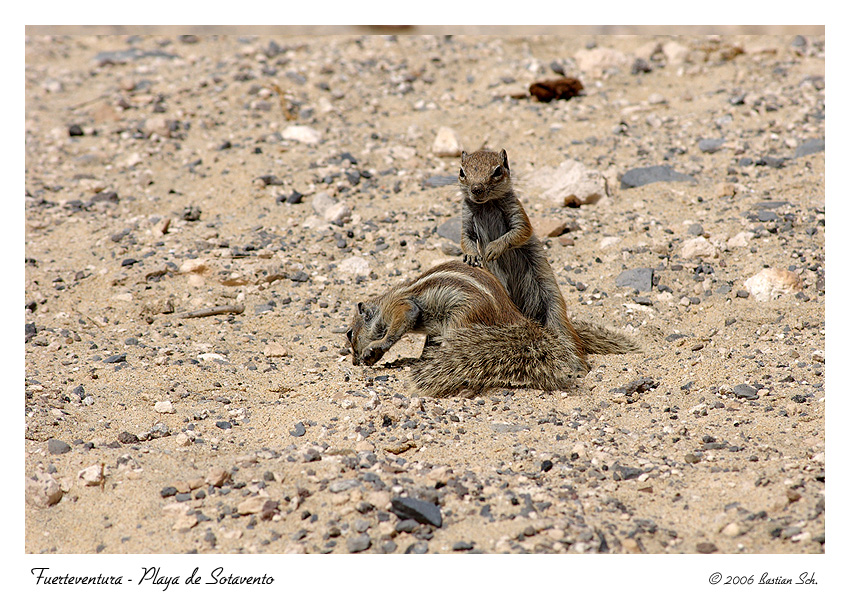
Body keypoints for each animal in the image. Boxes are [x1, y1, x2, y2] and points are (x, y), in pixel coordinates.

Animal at [342, 262, 576, 398]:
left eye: (350, 334)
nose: (353, 362)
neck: (383, 306)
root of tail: (511, 315)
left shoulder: (402, 308)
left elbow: (395, 330)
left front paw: (374, 347)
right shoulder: (433, 332)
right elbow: (427, 347)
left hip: (461, 323)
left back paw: (465, 390)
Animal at [458, 148, 636, 368]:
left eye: (497, 171)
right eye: (462, 171)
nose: (476, 189)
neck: (487, 205)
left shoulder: (517, 213)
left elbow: (519, 232)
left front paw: (493, 247)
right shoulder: (466, 218)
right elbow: (465, 238)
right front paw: (471, 255)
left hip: (551, 299)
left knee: (564, 332)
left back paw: (577, 365)